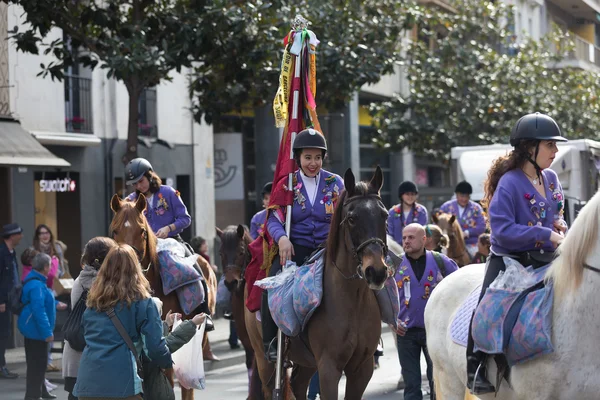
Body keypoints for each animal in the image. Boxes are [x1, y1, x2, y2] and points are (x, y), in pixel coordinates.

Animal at [244, 166, 390, 400]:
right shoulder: (329, 367)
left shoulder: (362, 368)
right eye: (352, 218)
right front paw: (285, 245)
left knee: (298, 384)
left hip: (307, 362)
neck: (352, 299)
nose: (376, 271)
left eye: (384, 215)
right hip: (263, 359)